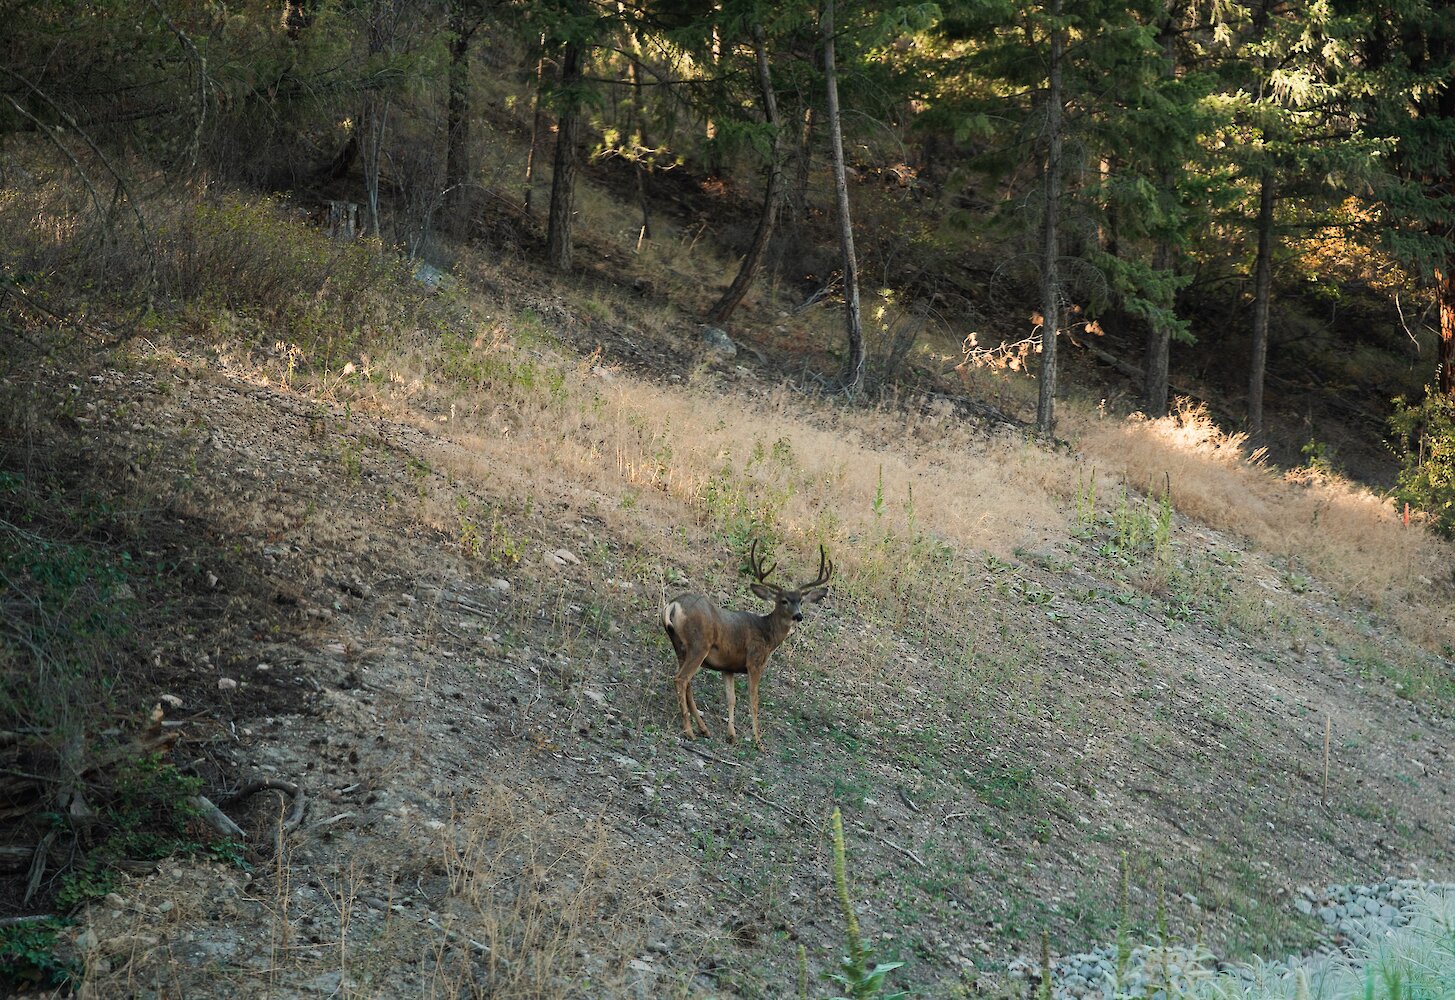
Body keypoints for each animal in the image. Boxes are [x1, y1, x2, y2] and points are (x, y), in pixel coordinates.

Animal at [662, 541, 833, 747]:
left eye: (801, 601)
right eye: (784, 601)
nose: (798, 616)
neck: (767, 635)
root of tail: (673, 605)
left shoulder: (728, 667)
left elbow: (731, 699)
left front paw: (732, 735)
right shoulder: (754, 661)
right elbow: (754, 700)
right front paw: (758, 741)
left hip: (679, 646)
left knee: (686, 682)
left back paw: (703, 729)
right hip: (699, 645)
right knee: (681, 679)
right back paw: (689, 731)